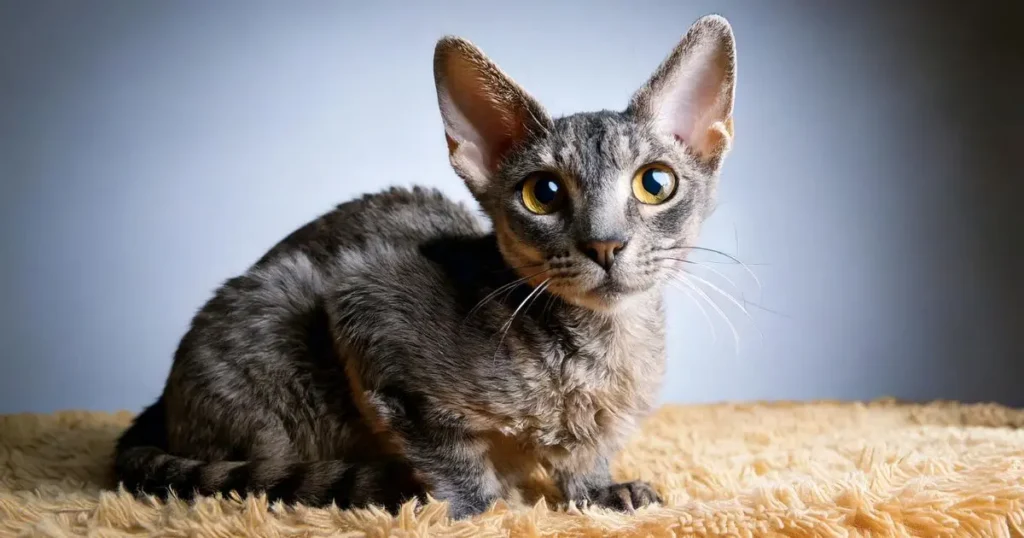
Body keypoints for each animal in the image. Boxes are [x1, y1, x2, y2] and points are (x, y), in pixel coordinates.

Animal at [112, 13, 737, 516]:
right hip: (280, 308)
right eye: (543, 193)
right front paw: (479, 508)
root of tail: (162, 402)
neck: (605, 352)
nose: (605, 244)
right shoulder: (365, 307)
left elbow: (582, 457)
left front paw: (599, 492)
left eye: (655, 184)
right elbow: (450, 456)